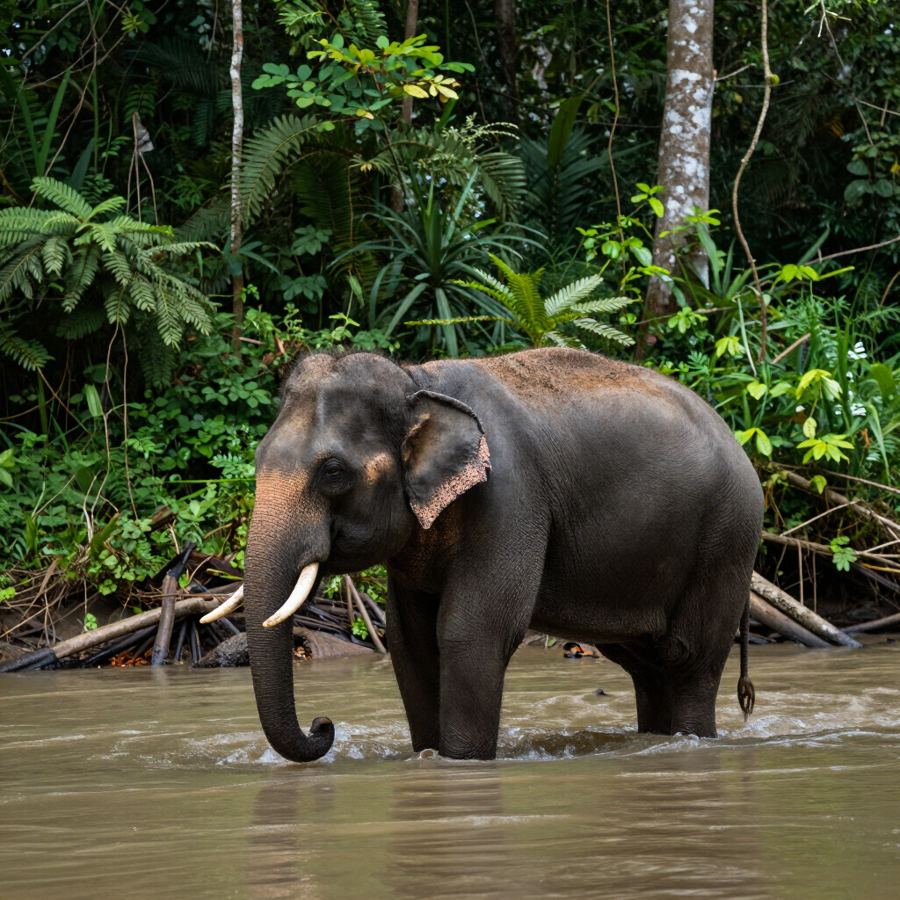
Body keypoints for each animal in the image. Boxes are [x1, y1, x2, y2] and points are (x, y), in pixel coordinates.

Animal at [202, 347, 763, 762]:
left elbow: (471, 630)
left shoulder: (511, 498)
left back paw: (690, 741)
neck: (416, 379)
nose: (324, 724)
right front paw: (427, 756)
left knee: (688, 658)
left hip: (726, 541)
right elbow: (410, 642)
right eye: (258, 458)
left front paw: (461, 761)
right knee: (647, 665)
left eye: (333, 472)